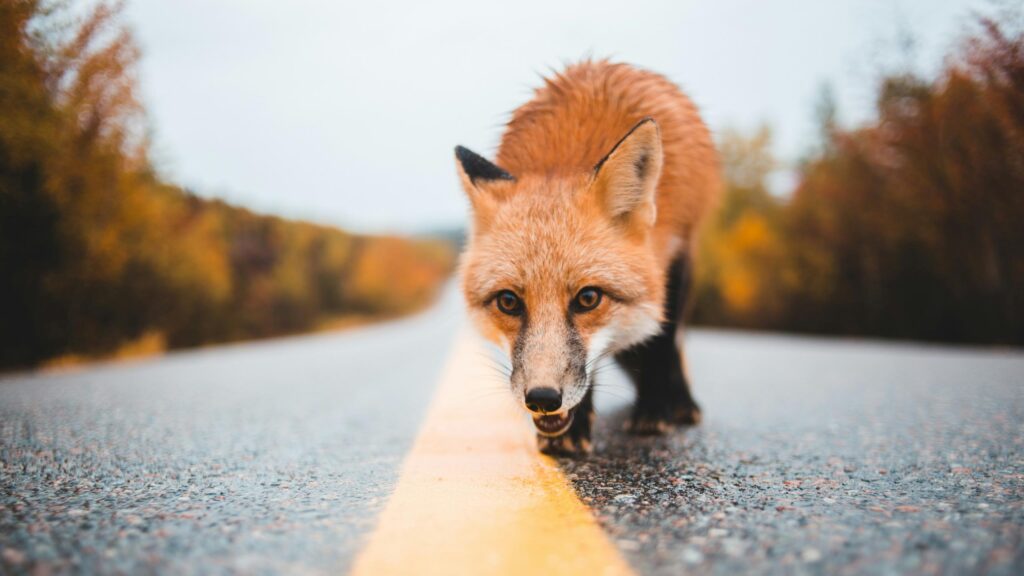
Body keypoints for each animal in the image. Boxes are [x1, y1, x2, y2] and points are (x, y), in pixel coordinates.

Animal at [455, 60, 719, 455]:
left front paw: (653, 411)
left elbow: (660, 343)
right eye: (508, 301)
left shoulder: (673, 257)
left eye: (588, 298)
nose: (543, 399)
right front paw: (573, 429)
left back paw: (680, 403)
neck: (563, 159)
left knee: (669, 341)